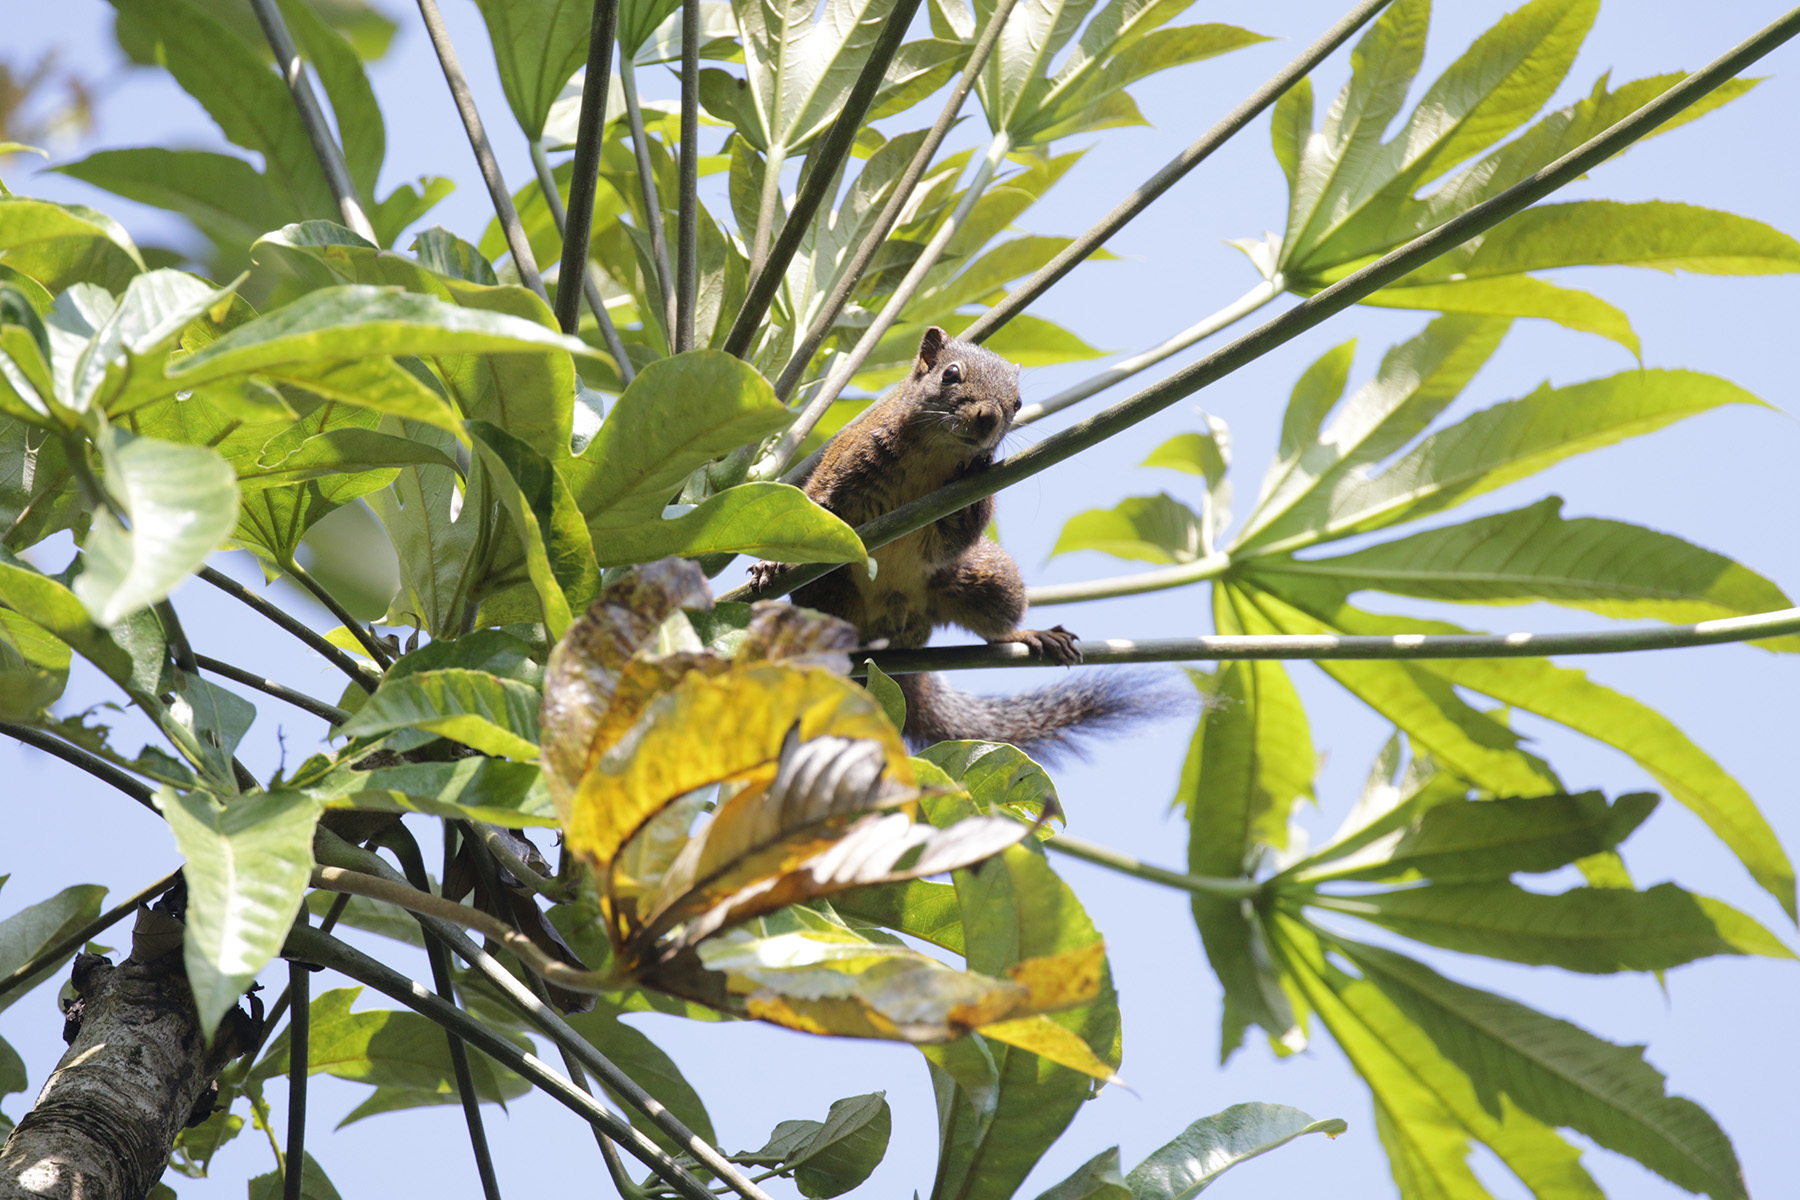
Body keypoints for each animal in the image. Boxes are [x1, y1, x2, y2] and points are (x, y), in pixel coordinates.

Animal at [750, 326, 1162, 761]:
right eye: (950, 374)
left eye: (1018, 402)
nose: (989, 417)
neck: (934, 452)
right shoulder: (844, 466)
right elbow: (817, 507)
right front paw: (771, 564)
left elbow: (960, 531)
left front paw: (977, 466)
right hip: (825, 592)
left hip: (990, 579)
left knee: (995, 626)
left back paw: (1025, 636)